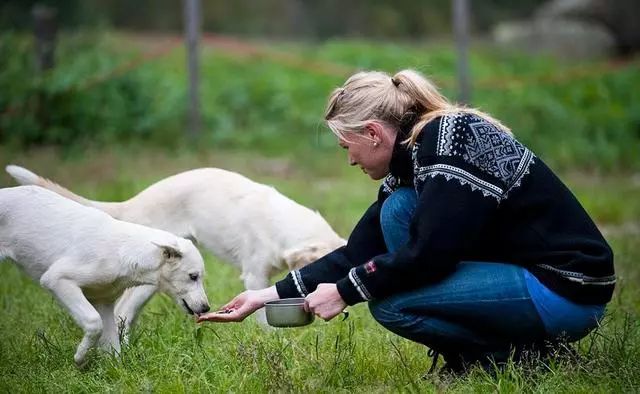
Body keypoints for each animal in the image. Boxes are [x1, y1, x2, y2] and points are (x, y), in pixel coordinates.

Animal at [0, 186, 209, 364]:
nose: (206, 308)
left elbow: (113, 349)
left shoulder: (104, 303)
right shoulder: (57, 280)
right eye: (193, 276)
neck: (122, 251)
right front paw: (80, 357)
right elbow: (94, 323)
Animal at [6, 164, 344, 326]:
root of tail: (132, 204)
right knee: (122, 311)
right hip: (149, 280)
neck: (281, 224)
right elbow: (260, 314)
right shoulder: (254, 274)